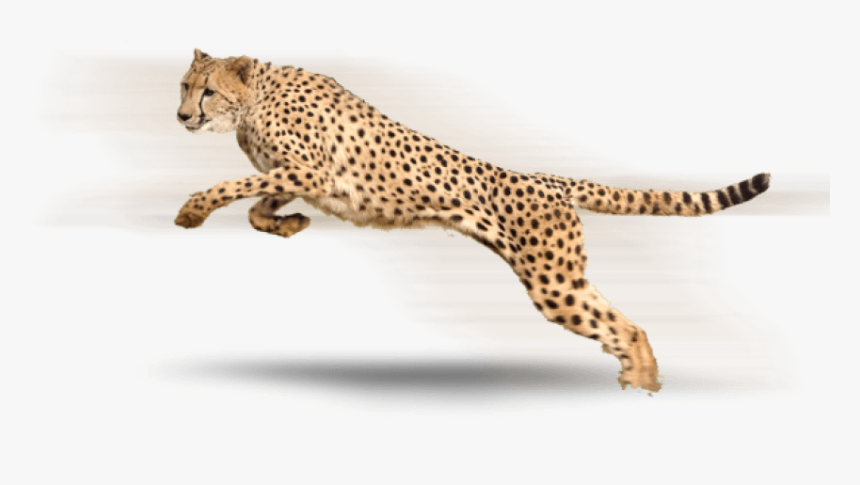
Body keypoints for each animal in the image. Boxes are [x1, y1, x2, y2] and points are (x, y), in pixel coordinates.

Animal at [174, 49, 771, 393]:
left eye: (207, 90)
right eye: (184, 85)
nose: (181, 116)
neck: (255, 95)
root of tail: (545, 178)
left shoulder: (311, 171)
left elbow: (235, 188)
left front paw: (192, 210)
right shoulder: (300, 177)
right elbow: (257, 205)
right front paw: (289, 226)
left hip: (552, 282)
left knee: (623, 323)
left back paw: (644, 382)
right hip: (560, 278)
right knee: (620, 320)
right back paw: (638, 377)